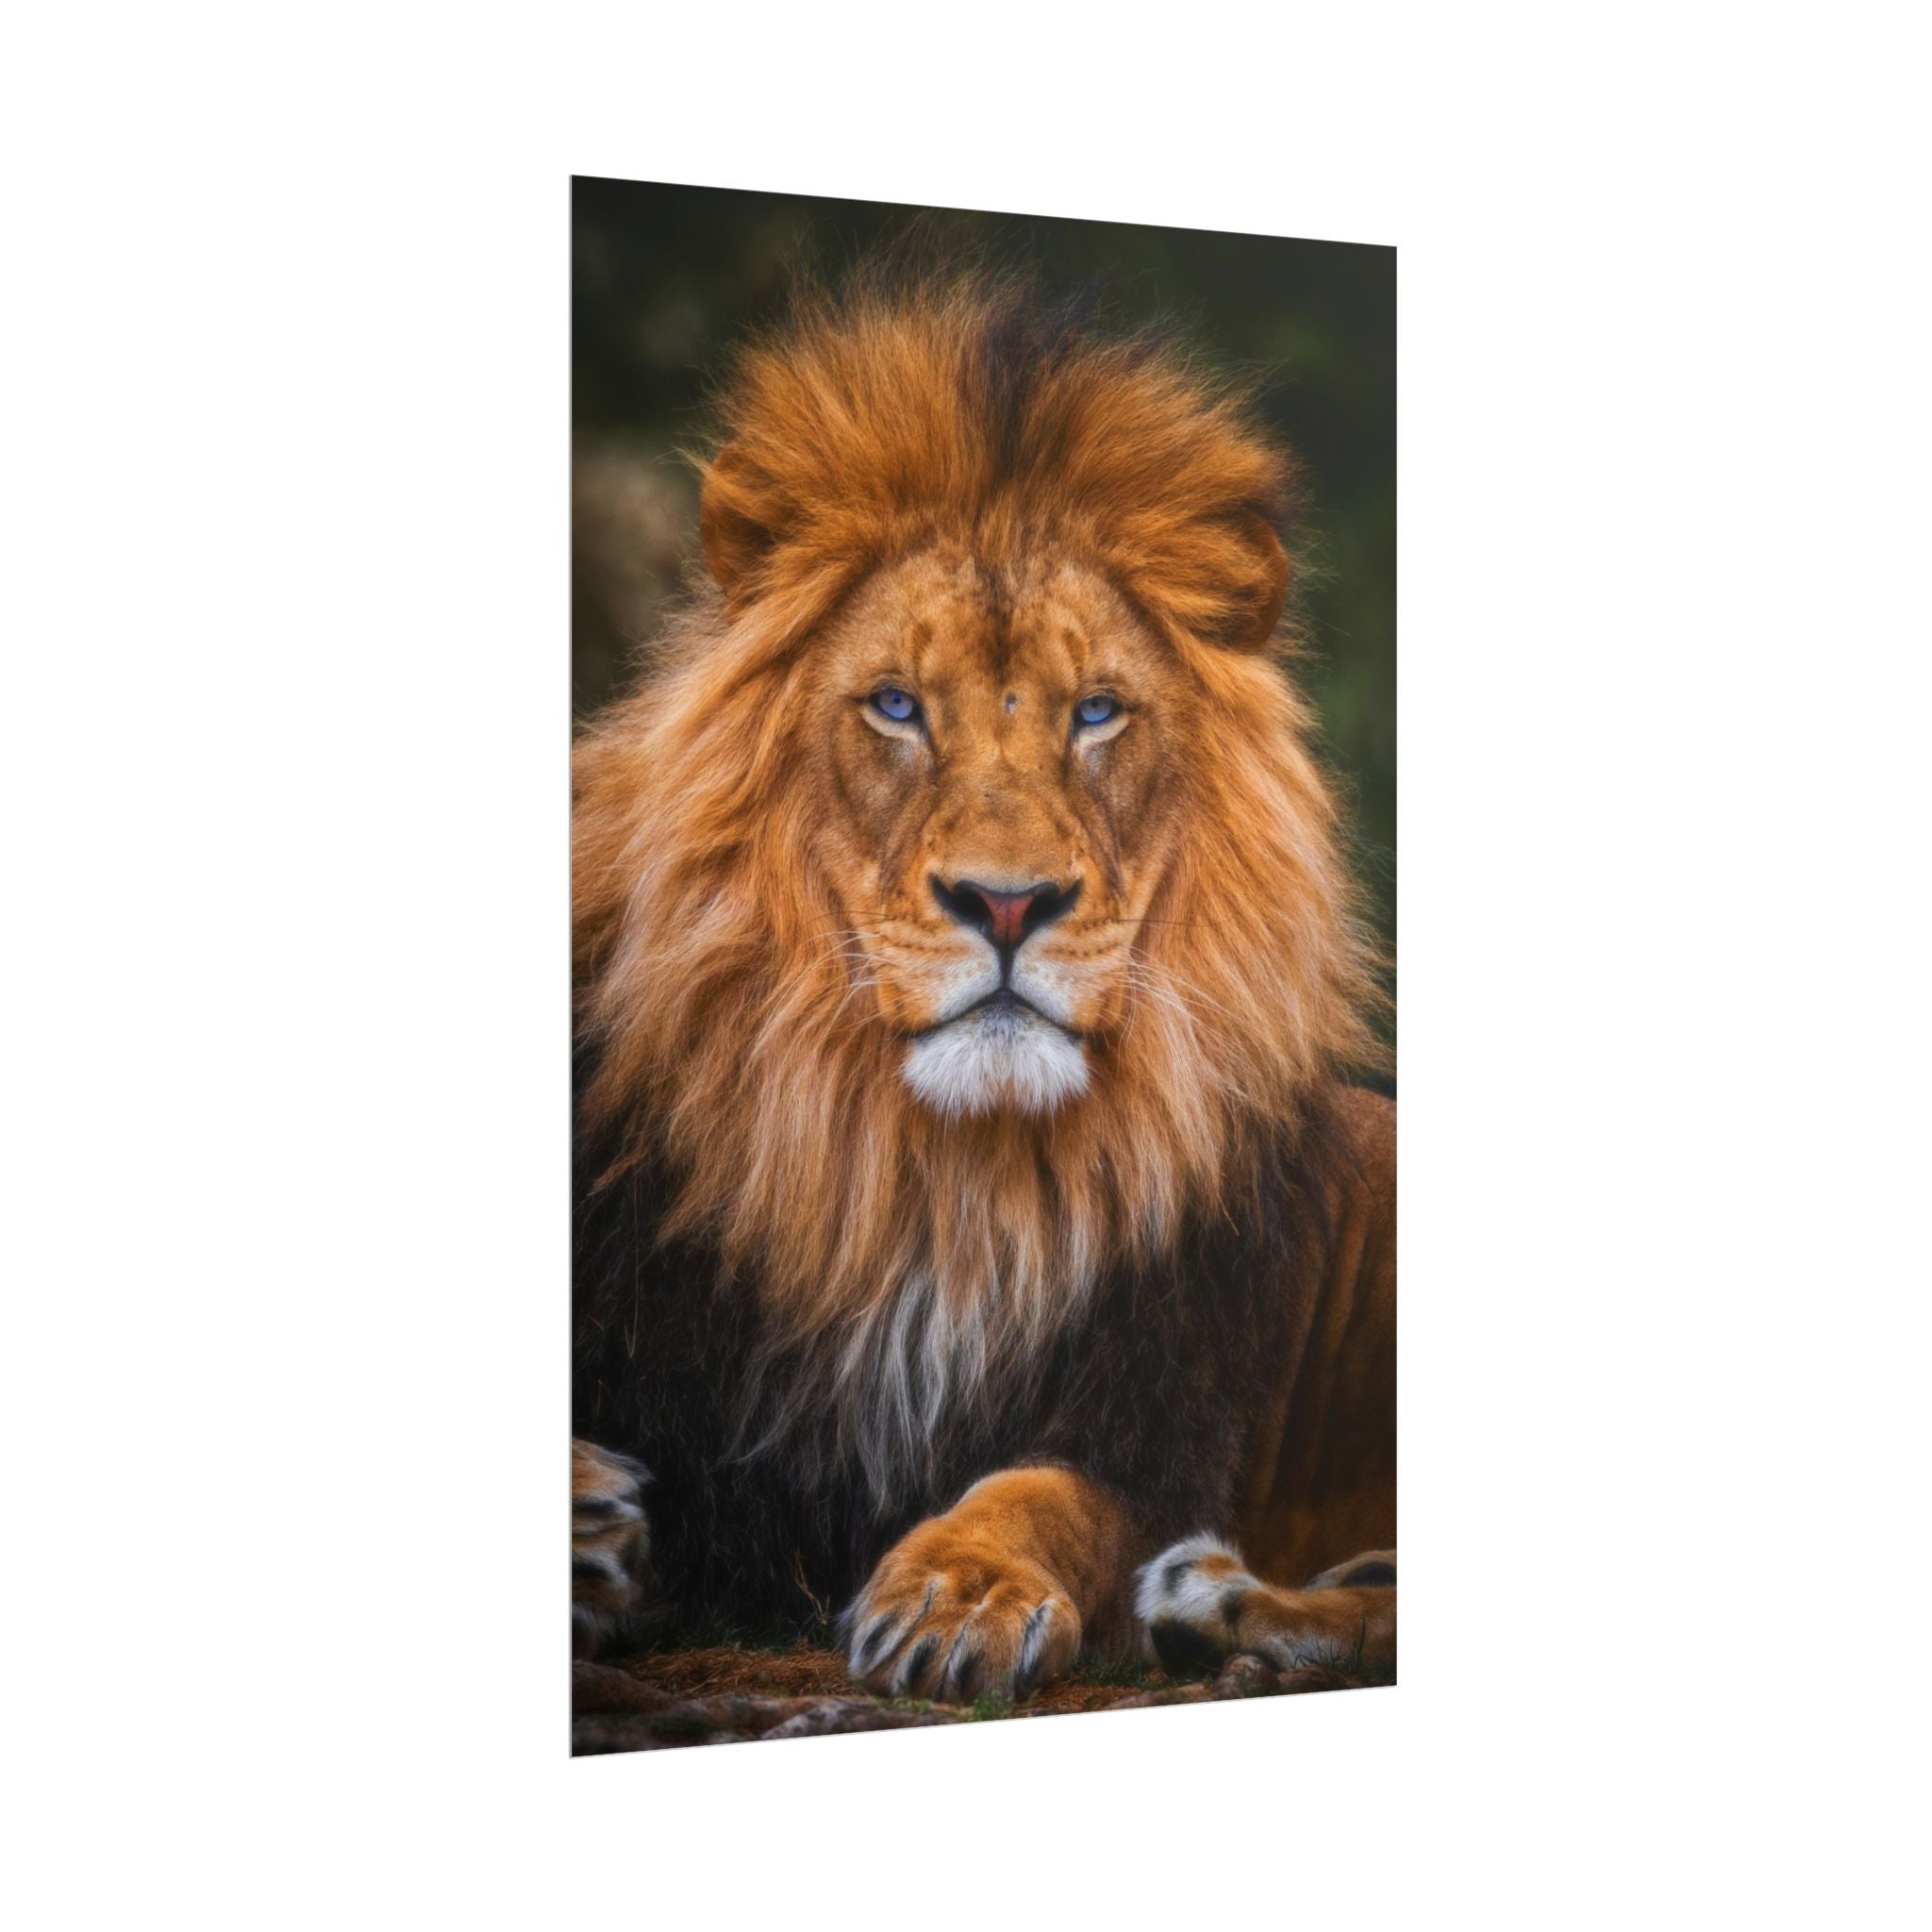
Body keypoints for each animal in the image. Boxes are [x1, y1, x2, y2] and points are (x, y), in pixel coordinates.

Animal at [571, 272, 1395, 1705]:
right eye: (897, 706)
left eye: (1097, 712)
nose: (1006, 905)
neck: (936, 1179)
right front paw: (583, 1521)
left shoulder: (1152, 1422)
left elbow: (1042, 1495)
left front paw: (960, 1591)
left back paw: (1227, 1606)